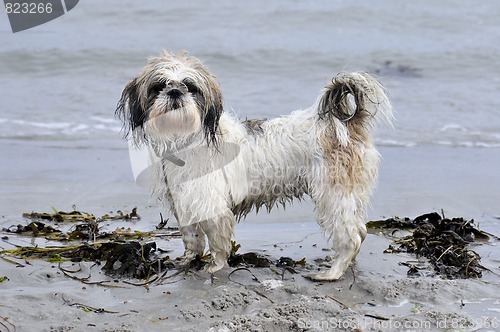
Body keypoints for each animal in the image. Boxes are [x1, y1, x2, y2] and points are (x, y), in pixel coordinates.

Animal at [115, 52, 392, 280]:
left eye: (190, 87)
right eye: (159, 86)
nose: (174, 92)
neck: (185, 138)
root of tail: (341, 124)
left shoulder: (211, 203)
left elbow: (217, 239)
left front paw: (216, 266)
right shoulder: (184, 200)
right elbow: (191, 237)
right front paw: (188, 259)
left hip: (333, 194)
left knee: (351, 236)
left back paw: (333, 272)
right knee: (360, 230)